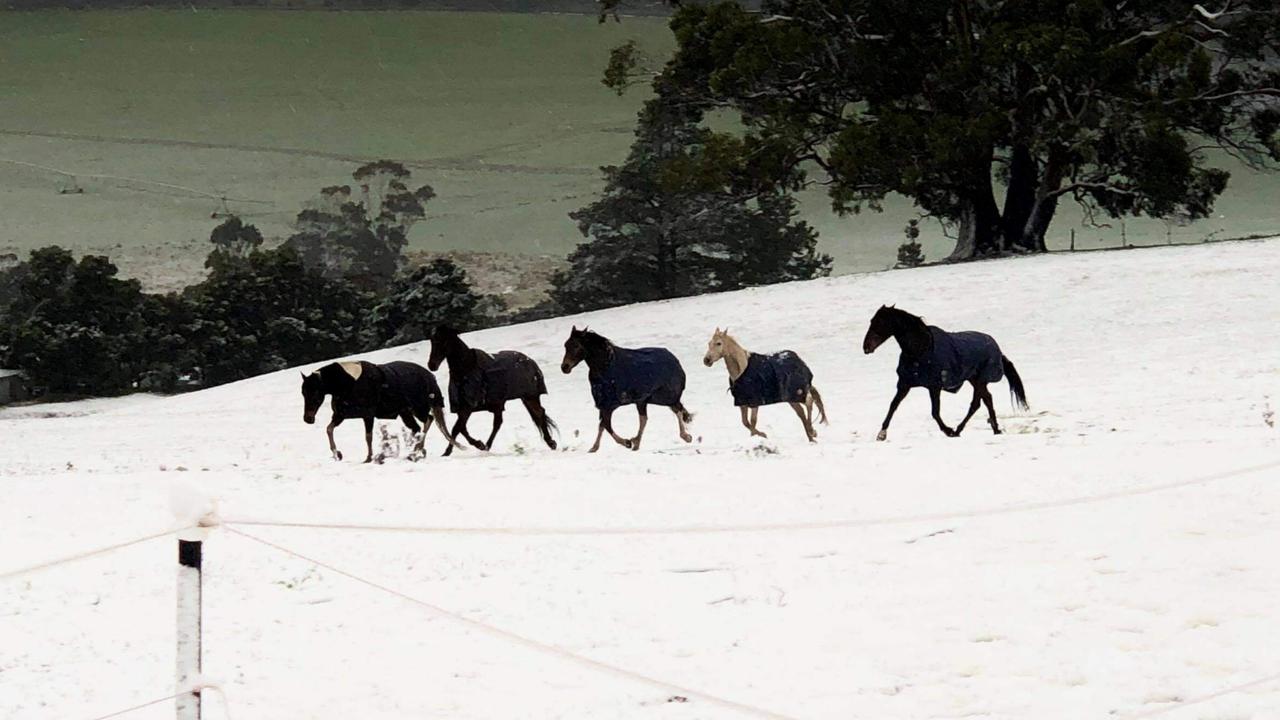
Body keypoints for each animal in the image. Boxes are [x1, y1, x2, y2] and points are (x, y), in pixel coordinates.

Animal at [298, 356, 460, 458]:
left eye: (314, 392)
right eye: (303, 393)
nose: (308, 419)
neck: (348, 382)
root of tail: (430, 376)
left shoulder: (368, 415)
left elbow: (368, 437)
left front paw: (368, 458)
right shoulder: (341, 415)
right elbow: (329, 429)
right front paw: (337, 454)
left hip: (418, 408)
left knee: (428, 420)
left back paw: (417, 450)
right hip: (405, 412)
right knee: (417, 427)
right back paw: (417, 450)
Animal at [427, 325, 558, 453]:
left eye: (443, 341)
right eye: (432, 341)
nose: (432, 365)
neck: (466, 370)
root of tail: (530, 361)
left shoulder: (468, 407)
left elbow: (457, 428)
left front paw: (451, 450)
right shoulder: (461, 407)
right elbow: (461, 429)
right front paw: (471, 446)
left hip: (530, 396)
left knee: (539, 413)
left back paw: (551, 443)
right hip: (512, 400)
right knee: (502, 422)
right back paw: (487, 446)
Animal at [560, 326, 696, 450]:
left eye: (576, 346)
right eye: (566, 345)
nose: (564, 367)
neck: (606, 367)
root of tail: (674, 358)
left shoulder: (609, 404)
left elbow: (607, 425)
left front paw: (626, 442)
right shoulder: (603, 404)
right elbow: (602, 425)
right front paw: (594, 448)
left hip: (663, 397)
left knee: (676, 409)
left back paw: (685, 436)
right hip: (646, 400)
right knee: (648, 417)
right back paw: (637, 442)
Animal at [701, 327, 829, 440]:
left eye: (718, 343)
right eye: (709, 343)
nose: (706, 360)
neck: (742, 371)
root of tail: (799, 361)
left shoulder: (755, 402)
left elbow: (753, 422)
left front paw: (762, 436)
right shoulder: (742, 402)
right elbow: (745, 422)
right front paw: (760, 436)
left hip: (797, 393)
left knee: (809, 402)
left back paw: (812, 432)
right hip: (790, 398)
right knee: (801, 412)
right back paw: (811, 437)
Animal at [860, 302, 1029, 438]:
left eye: (879, 322)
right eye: (872, 321)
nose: (866, 347)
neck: (921, 350)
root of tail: (997, 349)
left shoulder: (934, 387)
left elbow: (935, 412)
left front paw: (948, 430)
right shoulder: (904, 384)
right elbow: (893, 405)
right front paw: (882, 433)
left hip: (980, 380)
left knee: (977, 403)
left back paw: (960, 430)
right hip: (974, 380)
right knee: (986, 399)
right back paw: (992, 429)